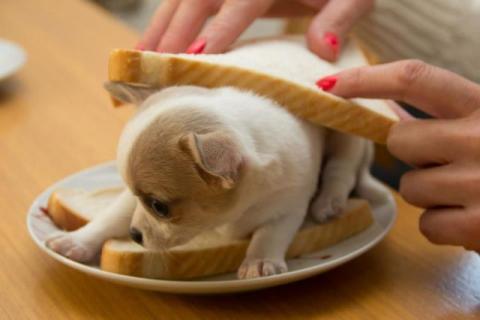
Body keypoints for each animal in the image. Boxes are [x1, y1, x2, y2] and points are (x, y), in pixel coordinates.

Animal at [46, 84, 394, 278]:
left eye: (160, 207)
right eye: (146, 201)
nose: (133, 235)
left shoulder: (288, 207)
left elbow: (270, 233)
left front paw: (260, 261)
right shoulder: (127, 202)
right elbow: (110, 216)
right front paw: (78, 241)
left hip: (347, 140)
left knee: (341, 168)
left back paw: (328, 202)